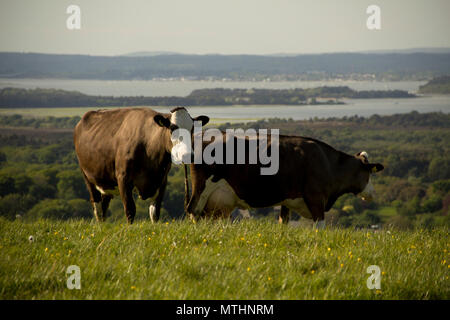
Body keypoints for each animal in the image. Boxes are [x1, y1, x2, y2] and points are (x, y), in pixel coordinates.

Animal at [74, 106, 210, 224]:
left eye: (192, 129)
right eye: (172, 128)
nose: (187, 155)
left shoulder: (161, 181)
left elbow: (155, 213)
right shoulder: (123, 179)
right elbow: (130, 210)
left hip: (106, 183)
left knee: (104, 207)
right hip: (87, 176)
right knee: (97, 207)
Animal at [186, 132, 384, 228]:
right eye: (369, 174)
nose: (373, 194)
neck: (328, 162)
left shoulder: (287, 200)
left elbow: (284, 222)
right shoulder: (315, 197)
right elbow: (320, 227)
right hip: (202, 187)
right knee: (192, 210)